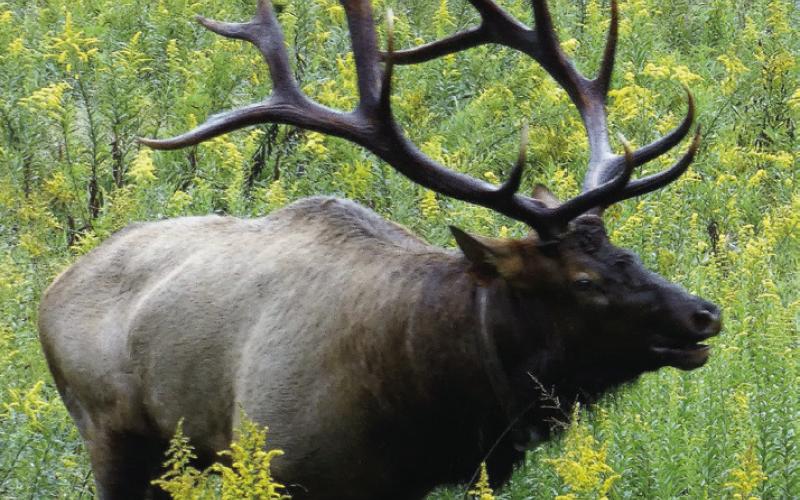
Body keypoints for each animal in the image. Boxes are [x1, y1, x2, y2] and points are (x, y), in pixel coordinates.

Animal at [38, 1, 722, 499]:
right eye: (582, 280)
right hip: (111, 436)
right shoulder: (291, 467)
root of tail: (52, 291)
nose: (704, 313)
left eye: (626, 252)